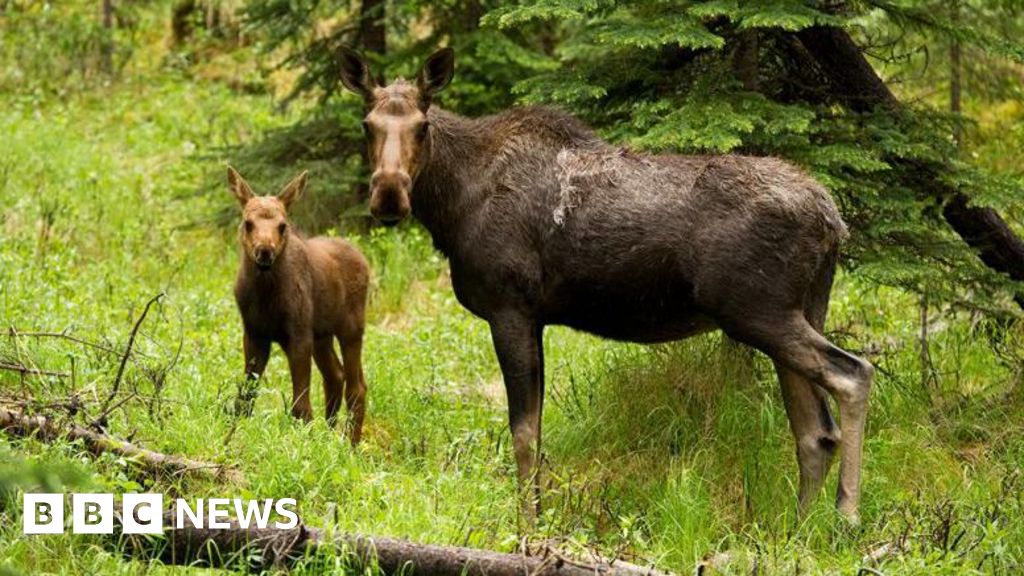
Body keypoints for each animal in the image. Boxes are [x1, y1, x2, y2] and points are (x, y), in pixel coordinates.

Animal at [228, 166, 370, 444]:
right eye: (248, 223)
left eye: (283, 226)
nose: (265, 251)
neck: (266, 297)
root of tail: (364, 260)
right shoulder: (254, 333)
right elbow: (244, 399)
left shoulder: (298, 333)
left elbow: (300, 406)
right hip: (322, 335)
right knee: (335, 376)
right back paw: (329, 436)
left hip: (351, 328)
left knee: (357, 387)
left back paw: (349, 445)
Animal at [337, 48, 874, 521]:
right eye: (366, 125)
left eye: (422, 126)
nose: (389, 194)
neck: (453, 207)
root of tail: (833, 219)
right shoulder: (535, 319)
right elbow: (536, 431)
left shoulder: (510, 308)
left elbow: (523, 433)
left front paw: (528, 527)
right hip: (800, 308)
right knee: (814, 432)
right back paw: (797, 531)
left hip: (759, 311)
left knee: (853, 374)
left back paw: (845, 515)